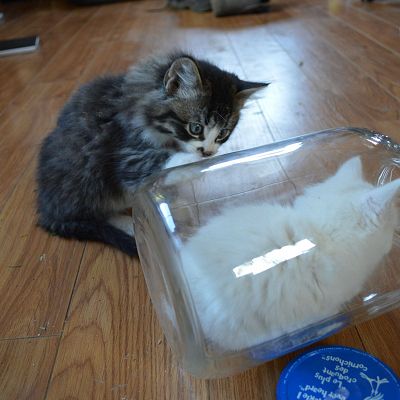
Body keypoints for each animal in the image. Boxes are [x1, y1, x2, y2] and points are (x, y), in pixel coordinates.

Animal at [37, 51, 268, 255]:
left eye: (223, 133)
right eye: (195, 128)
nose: (208, 152)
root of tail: (45, 210)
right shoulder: (129, 156)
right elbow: (165, 165)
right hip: (87, 177)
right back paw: (130, 224)